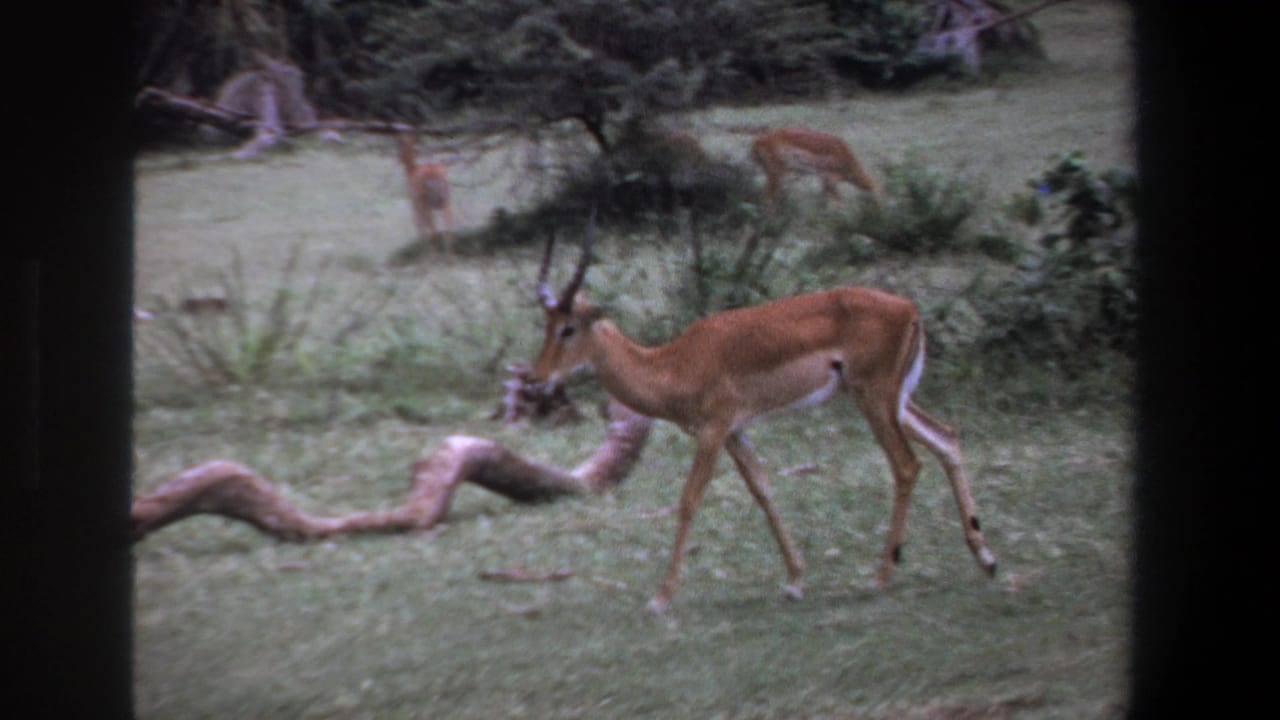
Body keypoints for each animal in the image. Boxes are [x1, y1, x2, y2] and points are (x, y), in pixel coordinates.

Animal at [530, 216, 997, 614]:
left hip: (875, 400)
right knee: (947, 438)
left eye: (568, 327)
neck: (674, 364)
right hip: (894, 400)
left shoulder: (713, 430)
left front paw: (660, 598)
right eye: (546, 323)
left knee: (906, 465)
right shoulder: (736, 433)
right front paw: (794, 582)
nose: (535, 378)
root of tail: (908, 309)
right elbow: (764, 490)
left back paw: (882, 575)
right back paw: (986, 559)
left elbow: (689, 499)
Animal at [751, 126, 885, 206]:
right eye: (881, 194)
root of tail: (756, 143)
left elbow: (825, 197)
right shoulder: (830, 177)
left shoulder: (824, 178)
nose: (882, 205)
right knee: (767, 195)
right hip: (777, 171)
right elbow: (837, 200)